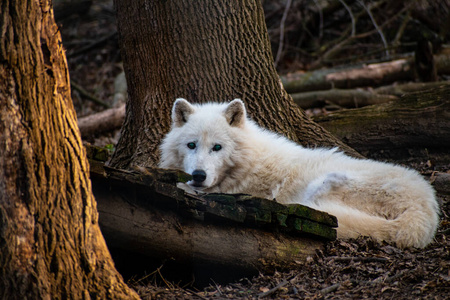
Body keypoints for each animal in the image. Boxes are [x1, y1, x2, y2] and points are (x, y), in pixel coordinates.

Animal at [159, 98, 440, 248]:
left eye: (217, 147)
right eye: (191, 145)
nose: (198, 175)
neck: (248, 162)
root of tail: (425, 211)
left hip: (326, 184)